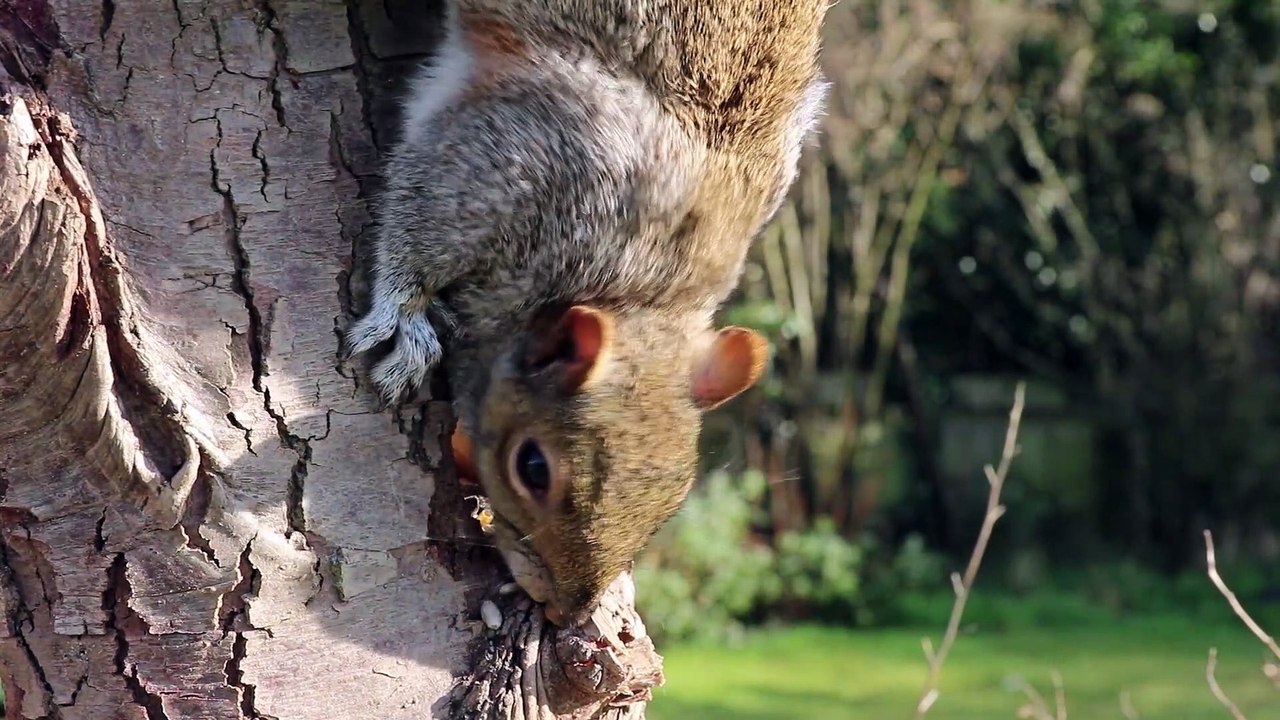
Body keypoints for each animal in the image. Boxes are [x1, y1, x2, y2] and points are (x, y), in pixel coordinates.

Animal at [346, 0, 829, 628]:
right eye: (532, 468)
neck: (644, 292)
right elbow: (419, 223)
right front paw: (403, 319)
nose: (567, 613)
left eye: (675, 498)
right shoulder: (509, 158)